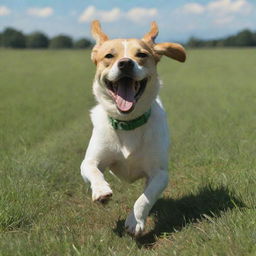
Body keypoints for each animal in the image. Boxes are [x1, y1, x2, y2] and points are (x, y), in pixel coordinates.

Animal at [80, 20, 186, 236]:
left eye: (142, 55)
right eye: (109, 56)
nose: (126, 63)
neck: (127, 122)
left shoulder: (160, 173)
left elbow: (146, 197)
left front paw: (135, 221)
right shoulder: (91, 160)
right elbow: (93, 169)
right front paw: (101, 191)